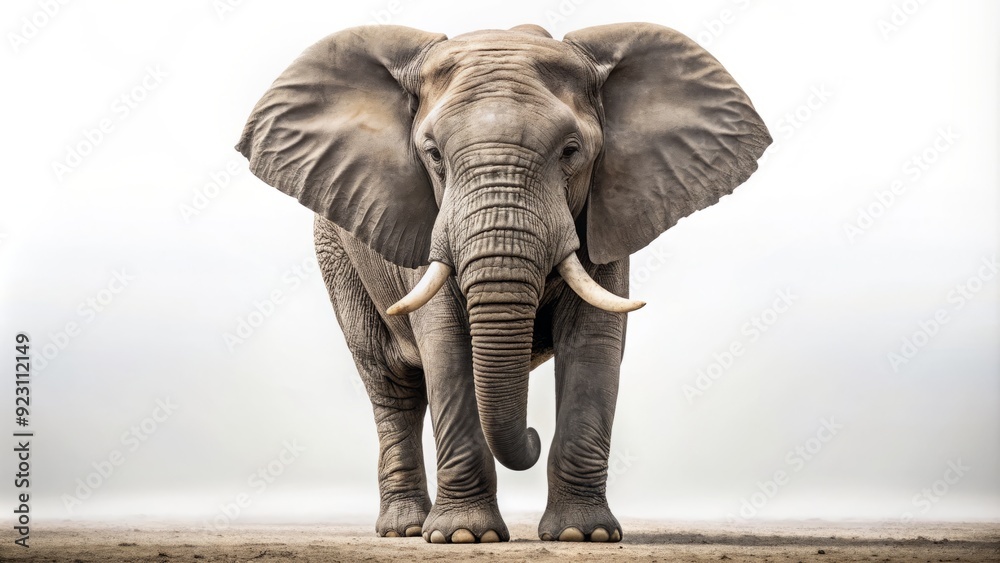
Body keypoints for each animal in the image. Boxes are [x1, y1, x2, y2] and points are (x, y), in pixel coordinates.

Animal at [236, 22, 770, 543]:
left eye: (571, 152)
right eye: (433, 155)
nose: (532, 435)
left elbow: (593, 346)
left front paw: (584, 534)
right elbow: (446, 348)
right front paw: (463, 537)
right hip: (336, 255)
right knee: (391, 383)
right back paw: (403, 528)